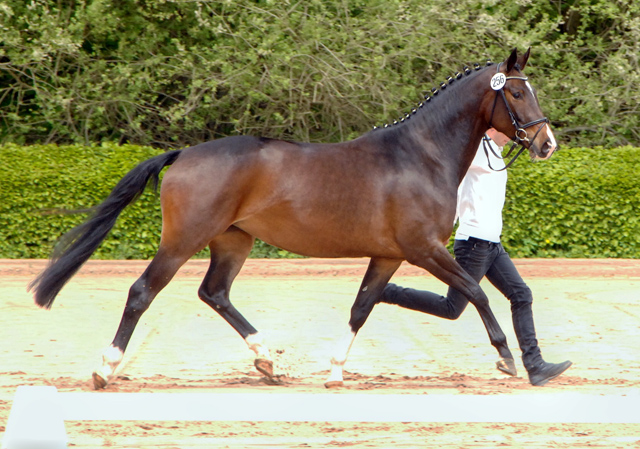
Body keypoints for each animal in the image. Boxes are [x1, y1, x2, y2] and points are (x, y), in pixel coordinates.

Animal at [32, 47, 556, 386]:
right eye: (515, 94)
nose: (546, 142)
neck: (419, 156)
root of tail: (182, 155)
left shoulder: (388, 255)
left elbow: (362, 306)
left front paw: (336, 371)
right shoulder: (423, 249)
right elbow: (474, 292)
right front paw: (507, 359)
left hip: (233, 241)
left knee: (214, 293)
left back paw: (267, 362)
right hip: (183, 240)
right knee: (142, 292)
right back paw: (105, 369)